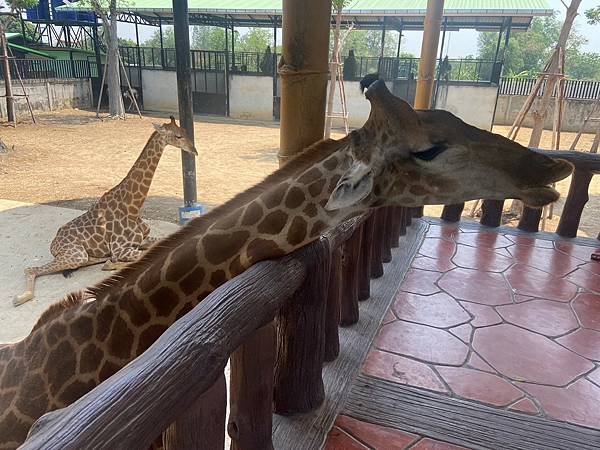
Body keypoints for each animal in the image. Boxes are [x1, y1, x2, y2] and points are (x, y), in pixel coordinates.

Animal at [13, 116, 197, 308]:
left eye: (185, 131)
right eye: (177, 136)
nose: (195, 151)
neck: (133, 206)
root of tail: (53, 244)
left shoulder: (143, 239)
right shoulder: (121, 249)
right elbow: (141, 256)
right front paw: (113, 264)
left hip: (80, 256)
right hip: (76, 255)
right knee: (30, 269)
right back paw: (20, 298)